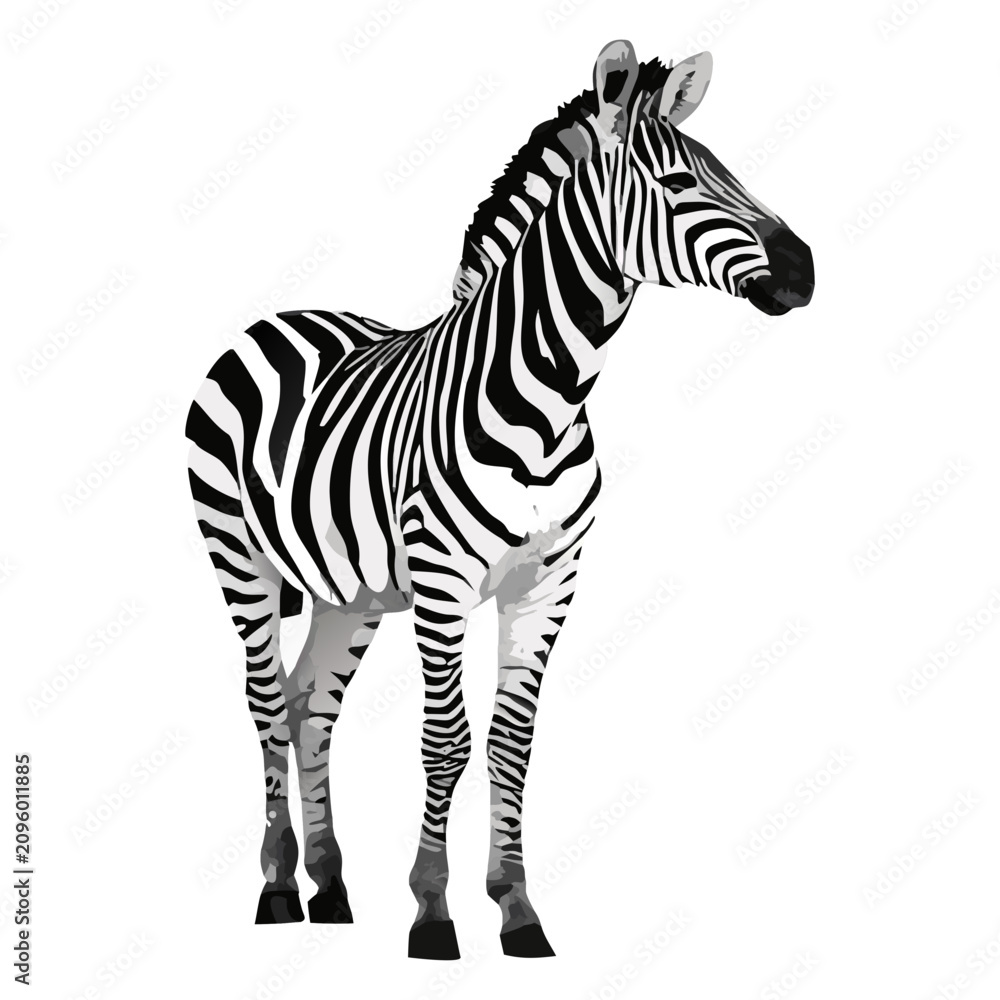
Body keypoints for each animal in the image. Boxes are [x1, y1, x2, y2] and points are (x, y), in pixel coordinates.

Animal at [185, 39, 813, 960]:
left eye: (726, 169)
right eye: (679, 182)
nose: (807, 270)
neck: (548, 396)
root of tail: (276, 318)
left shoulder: (549, 582)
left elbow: (512, 740)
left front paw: (517, 911)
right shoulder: (442, 583)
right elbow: (446, 739)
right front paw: (433, 913)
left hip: (351, 592)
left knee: (311, 705)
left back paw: (328, 889)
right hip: (240, 556)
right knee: (268, 701)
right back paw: (274, 888)